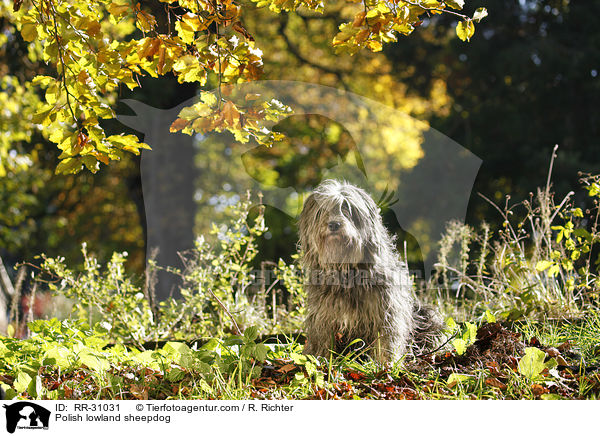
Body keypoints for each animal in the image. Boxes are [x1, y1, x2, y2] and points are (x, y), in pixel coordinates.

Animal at [298, 179, 440, 362]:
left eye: (347, 208)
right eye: (322, 210)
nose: (334, 224)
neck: (346, 272)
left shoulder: (386, 312)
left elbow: (386, 340)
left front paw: (385, 363)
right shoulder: (323, 316)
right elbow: (322, 339)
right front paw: (319, 359)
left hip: (428, 316)